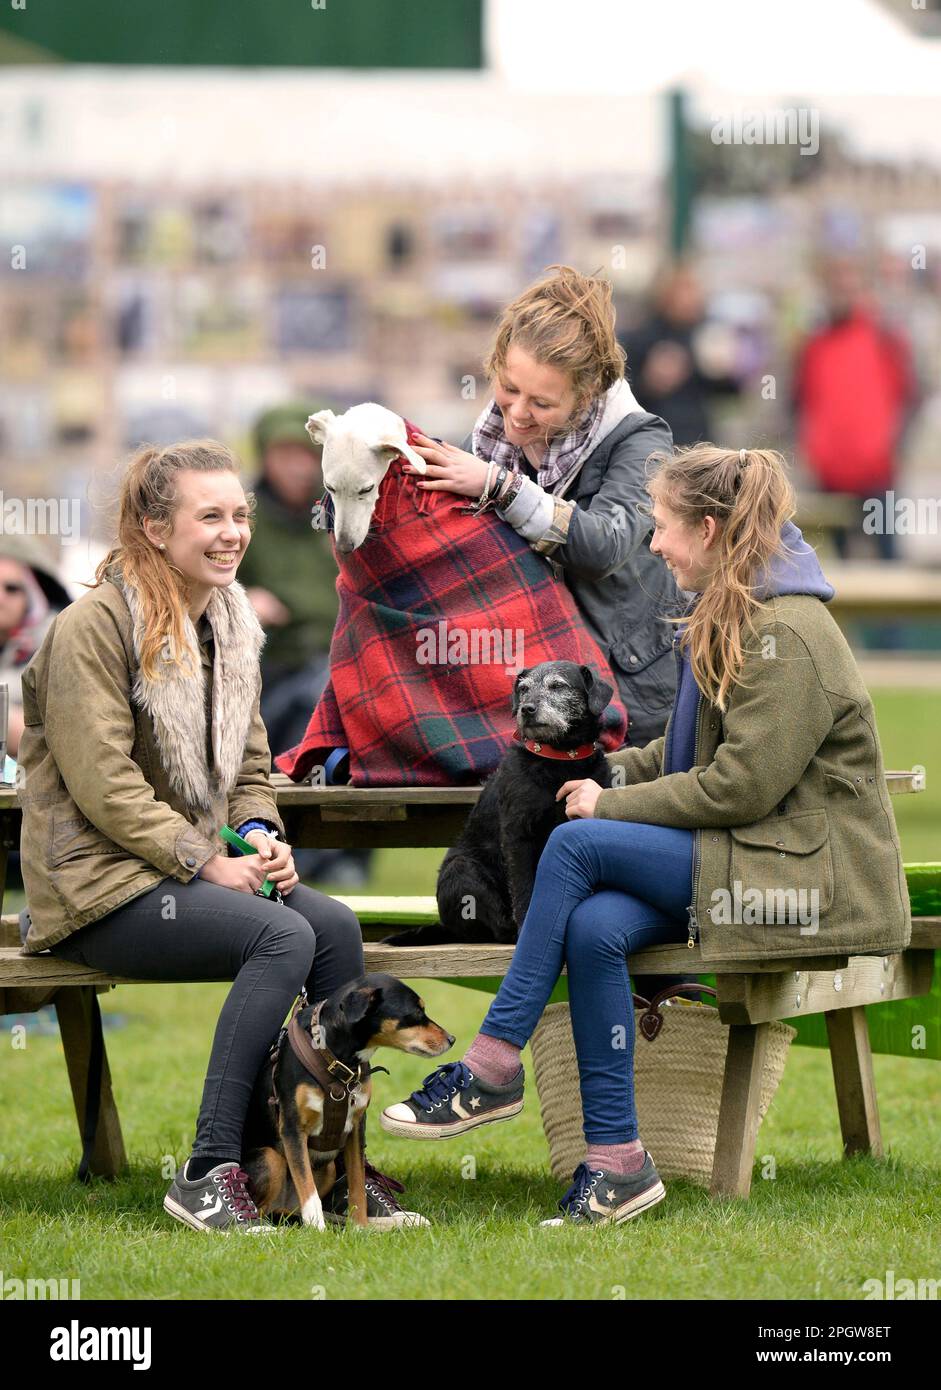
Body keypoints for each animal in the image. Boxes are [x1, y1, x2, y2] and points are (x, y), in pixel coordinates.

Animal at [240, 978, 450, 1228]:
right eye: (416, 1012)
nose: (452, 1039)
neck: (336, 1059)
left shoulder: (356, 1127)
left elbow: (357, 1185)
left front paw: (360, 1227)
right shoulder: (292, 1129)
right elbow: (309, 1192)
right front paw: (318, 1230)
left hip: (328, 1168)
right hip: (270, 1158)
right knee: (268, 1211)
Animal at [383, 658, 611, 945]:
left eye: (558, 686)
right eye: (523, 689)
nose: (527, 709)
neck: (560, 760)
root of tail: (447, 927)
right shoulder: (518, 836)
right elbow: (524, 889)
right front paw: (527, 929)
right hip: (461, 869)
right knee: (496, 927)